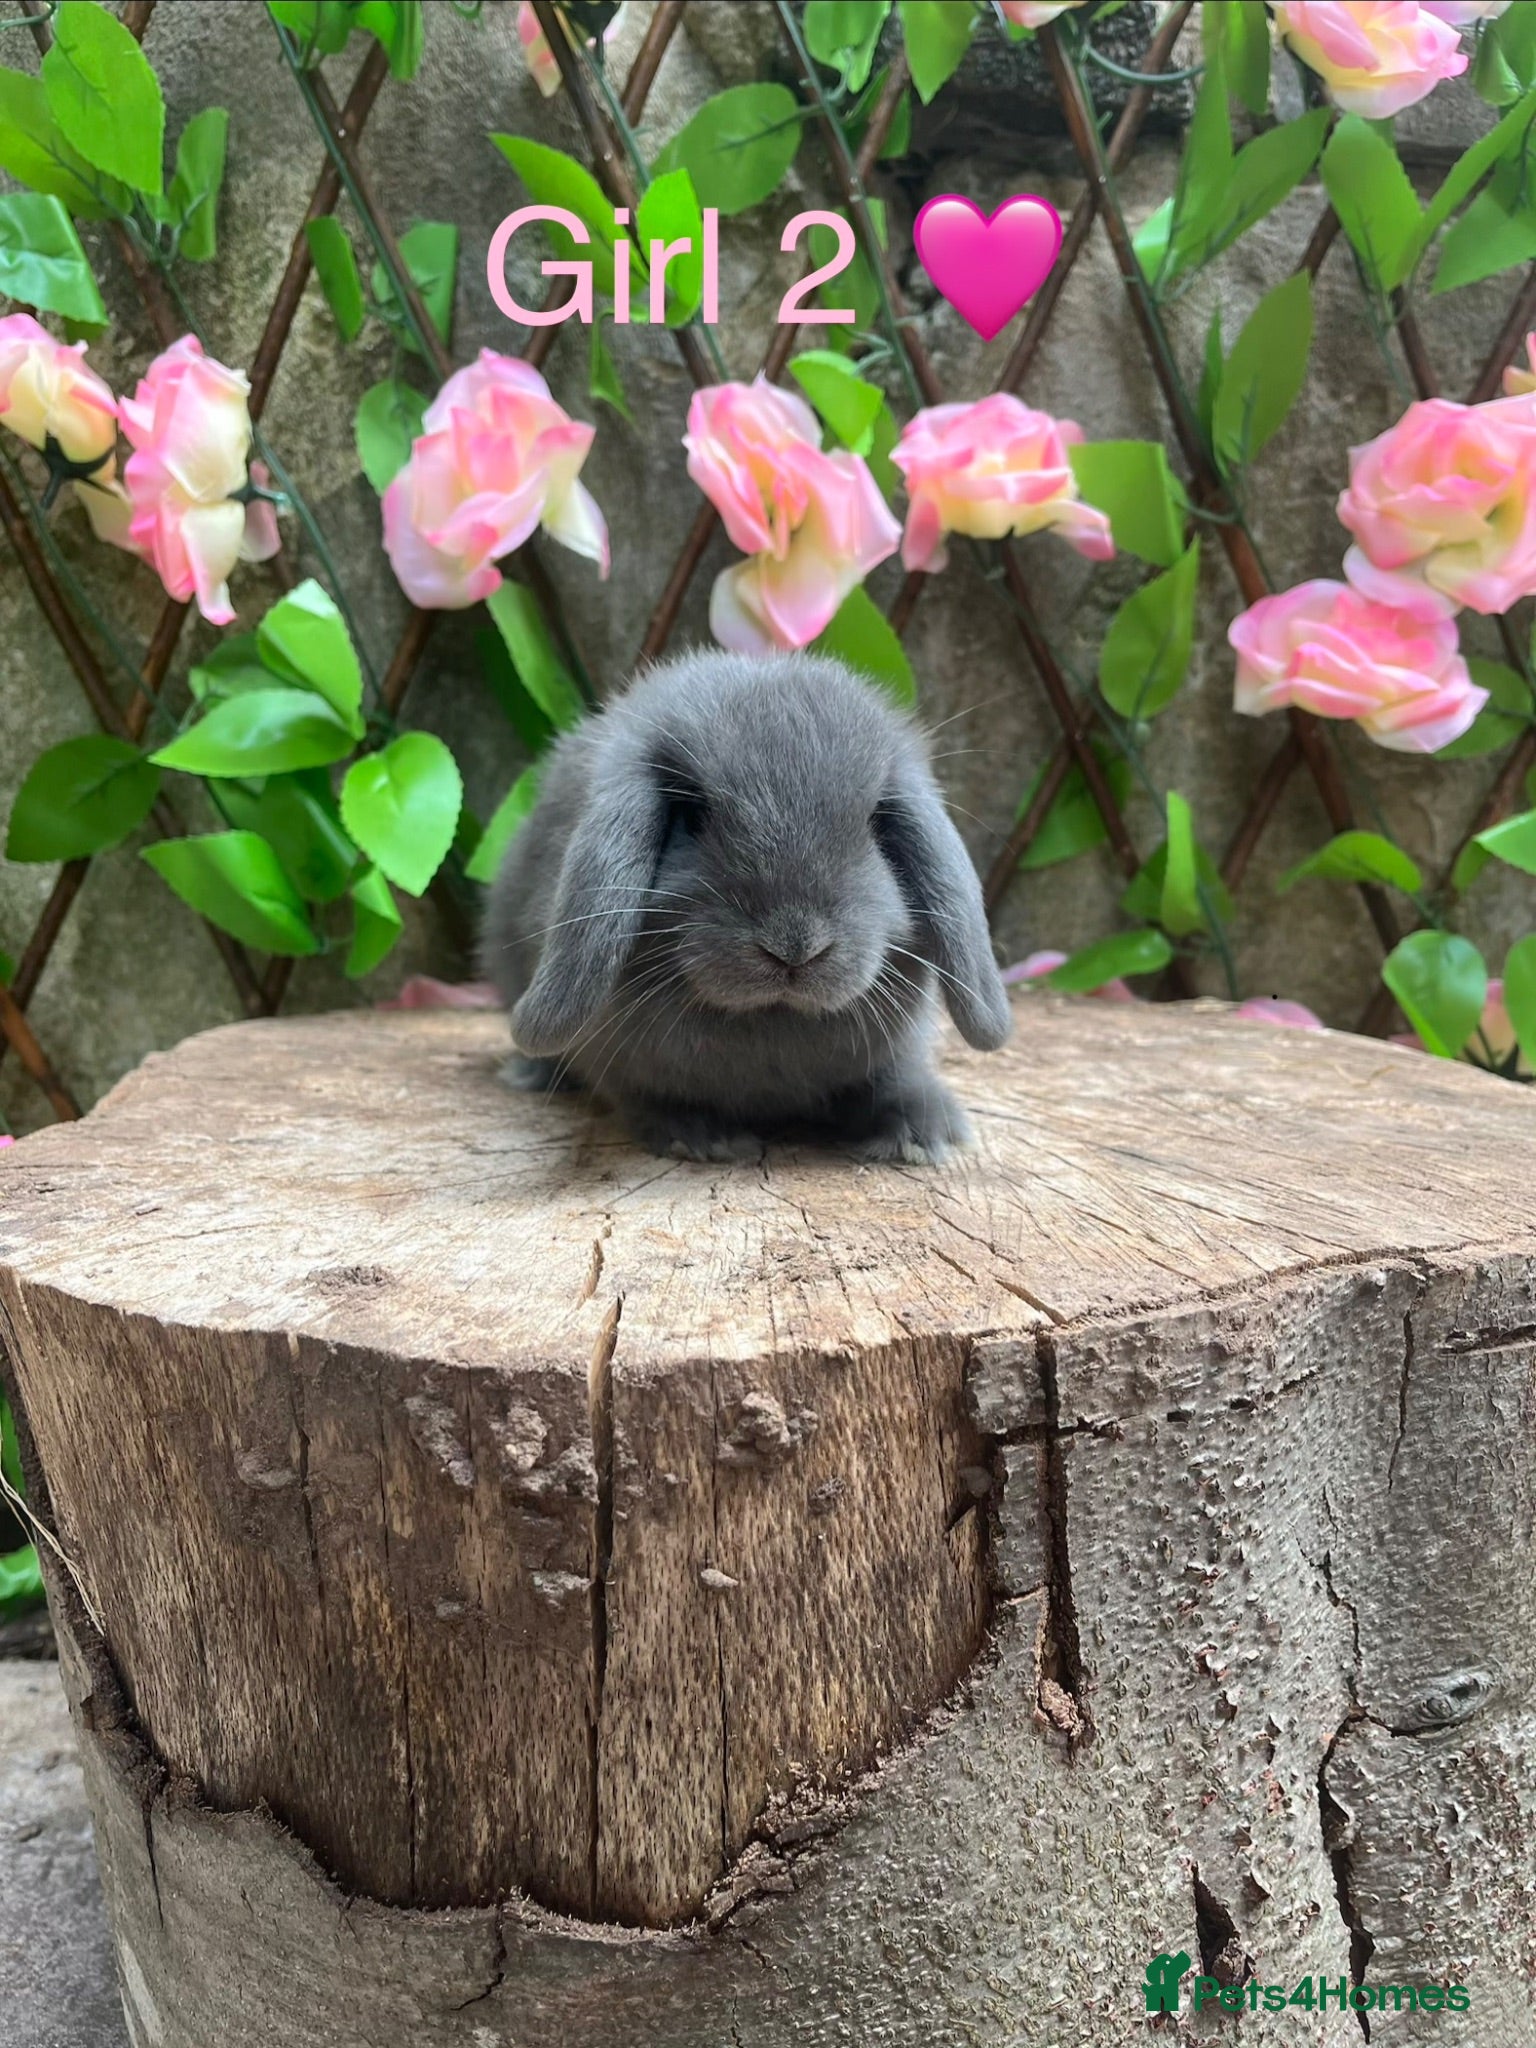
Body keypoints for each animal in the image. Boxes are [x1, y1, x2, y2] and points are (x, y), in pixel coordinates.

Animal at [480, 648, 1012, 1163]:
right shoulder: (622, 1066)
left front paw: (926, 1135)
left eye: (877, 823)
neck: (771, 1023)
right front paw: (706, 1140)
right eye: (691, 815)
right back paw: (530, 1073)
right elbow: (653, 1099)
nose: (795, 946)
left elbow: (889, 1083)